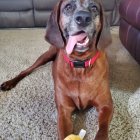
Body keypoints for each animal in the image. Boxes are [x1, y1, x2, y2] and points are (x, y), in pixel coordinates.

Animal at [0, 0, 113, 140]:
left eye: (94, 7)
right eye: (68, 7)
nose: (83, 18)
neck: (79, 65)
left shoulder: (106, 105)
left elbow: (102, 129)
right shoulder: (64, 110)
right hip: (47, 55)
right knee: (26, 70)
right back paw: (9, 83)